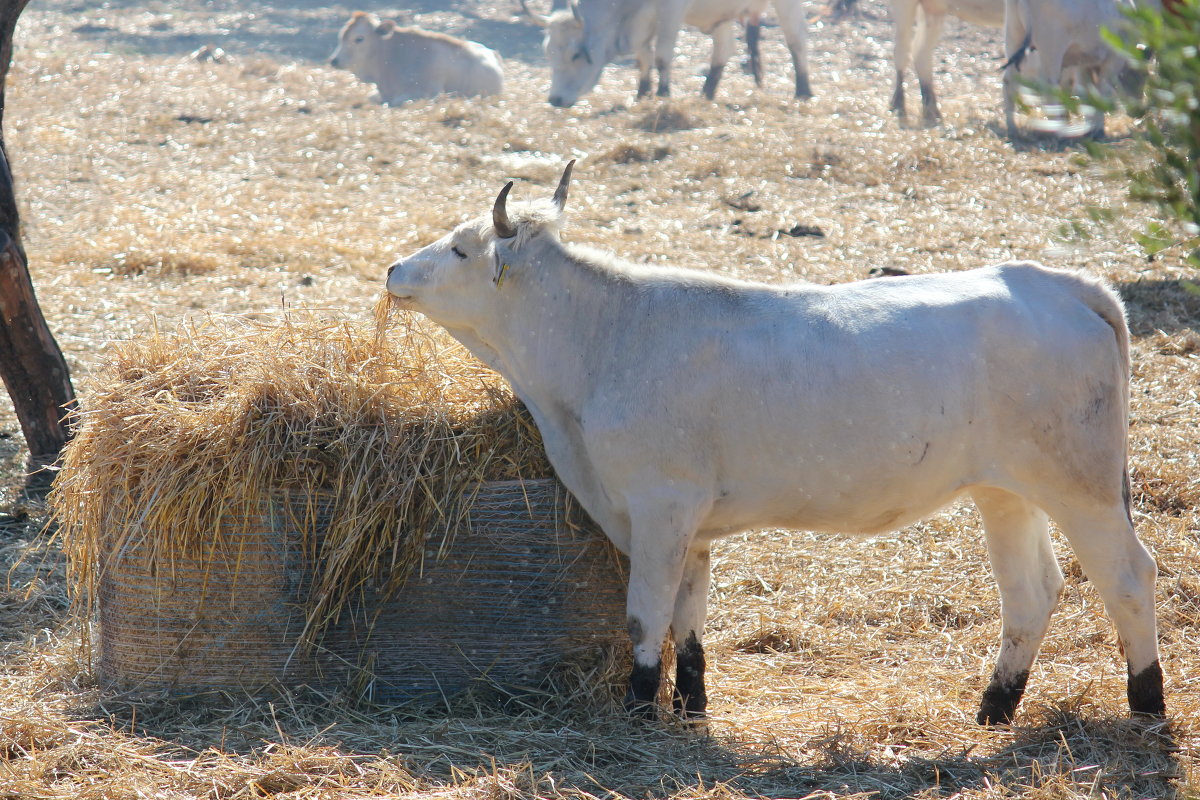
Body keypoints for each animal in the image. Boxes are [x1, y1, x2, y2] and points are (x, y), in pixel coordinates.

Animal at [530, 0, 811, 107]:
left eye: (576, 55)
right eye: (548, 54)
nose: (555, 99)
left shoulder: (670, 11)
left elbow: (662, 55)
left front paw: (663, 94)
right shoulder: (642, 20)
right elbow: (644, 56)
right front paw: (642, 94)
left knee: (796, 40)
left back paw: (803, 91)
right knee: (723, 50)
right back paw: (706, 95)